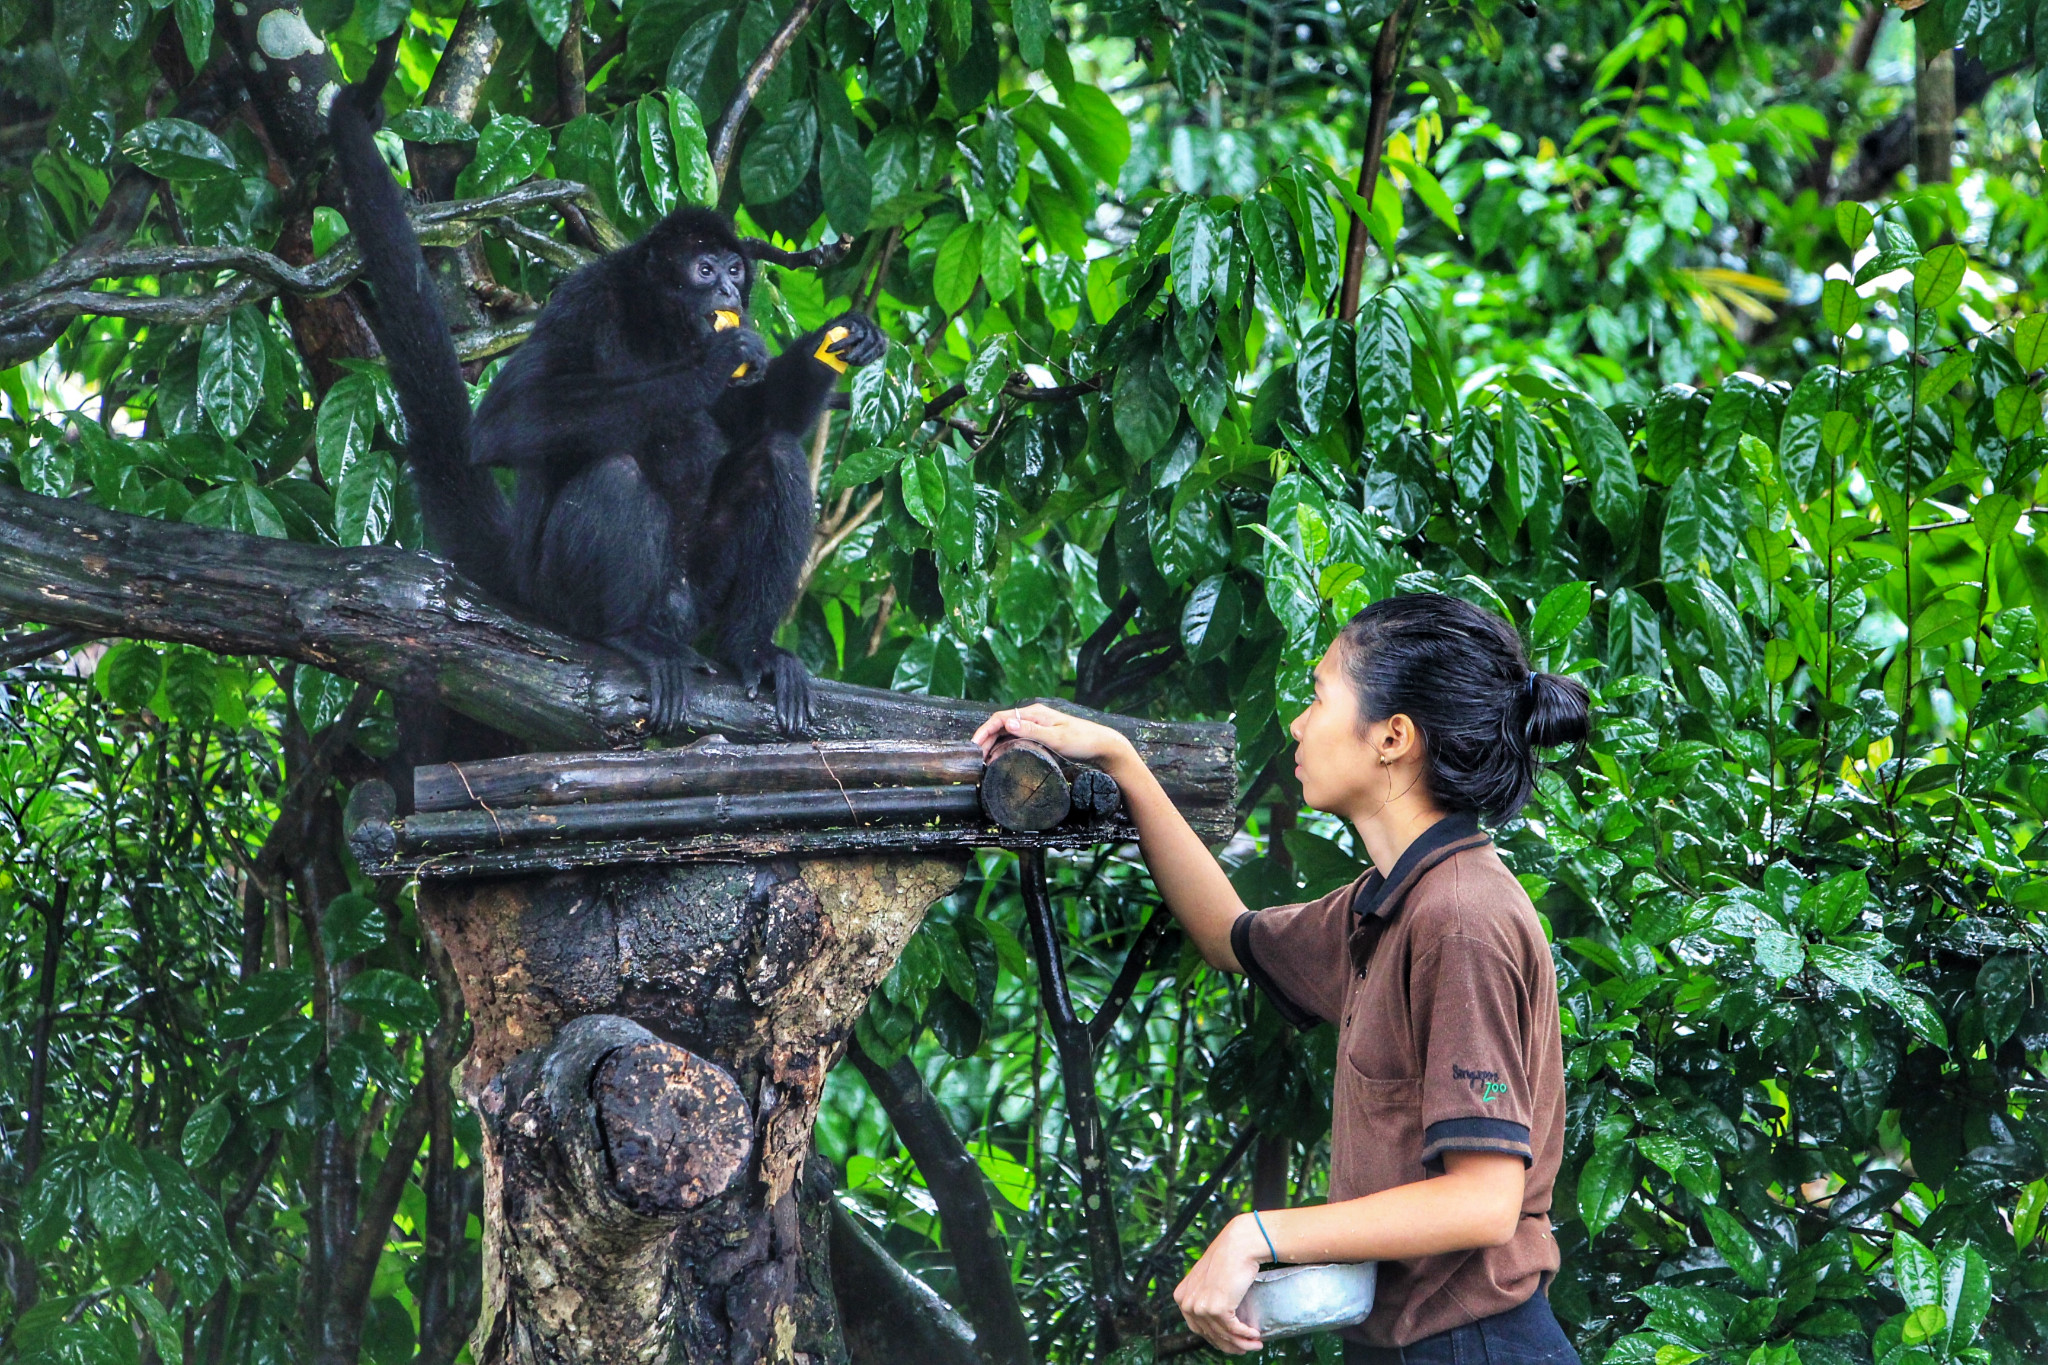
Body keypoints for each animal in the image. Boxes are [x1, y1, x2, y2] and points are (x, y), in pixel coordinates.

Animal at [323, 40, 884, 736]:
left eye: (734, 269)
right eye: (704, 270)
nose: (730, 292)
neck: (657, 325)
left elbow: (758, 421)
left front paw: (843, 340)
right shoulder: (582, 300)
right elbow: (505, 423)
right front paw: (709, 366)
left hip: (701, 592)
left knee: (774, 459)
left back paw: (749, 648)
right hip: (559, 590)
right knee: (615, 473)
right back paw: (627, 634)